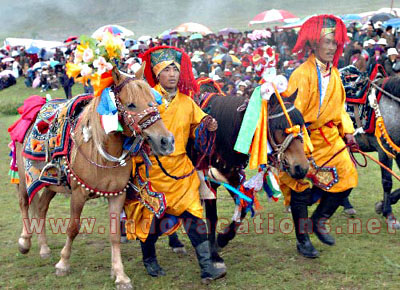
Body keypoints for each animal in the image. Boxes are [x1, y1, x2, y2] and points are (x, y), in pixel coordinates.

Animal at [14, 65, 174, 290]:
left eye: (153, 100)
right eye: (131, 104)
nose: (166, 141)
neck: (102, 153)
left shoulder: (117, 195)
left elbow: (115, 235)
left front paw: (120, 275)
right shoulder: (78, 194)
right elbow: (73, 228)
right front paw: (63, 264)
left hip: (51, 183)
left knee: (42, 207)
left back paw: (44, 248)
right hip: (24, 175)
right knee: (24, 203)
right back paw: (25, 242)